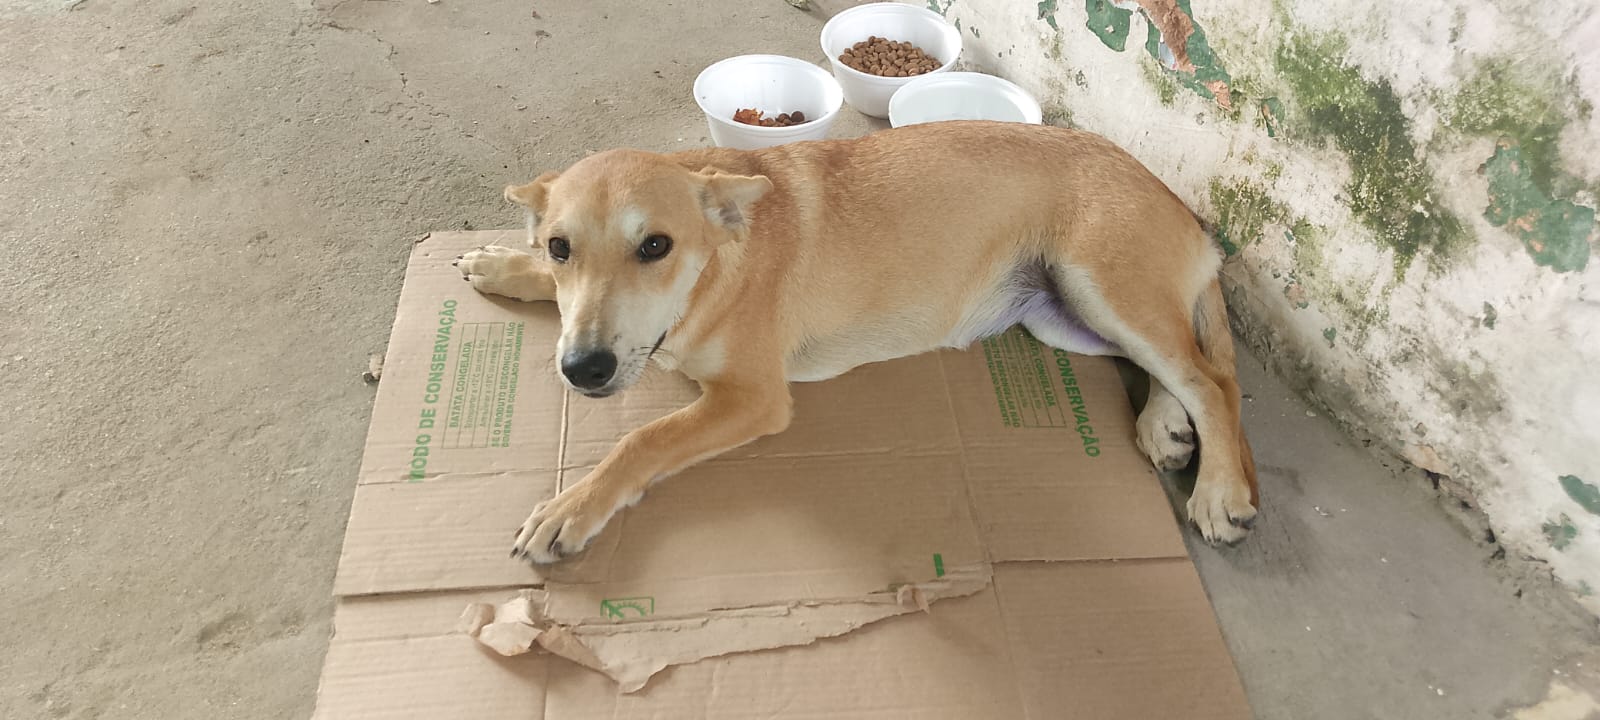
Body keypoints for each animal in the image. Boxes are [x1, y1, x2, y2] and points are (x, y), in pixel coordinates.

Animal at [454, 120, 1259, 565]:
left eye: (655, 245)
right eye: (560, 247)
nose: (583, 369)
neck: (716, 268)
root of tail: (1187, 214)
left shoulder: (753, 399)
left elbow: (640, 440)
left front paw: (570, 508)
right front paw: (502, 264)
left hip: (1101, 282)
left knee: (1213, 380)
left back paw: (1220, 490)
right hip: (1060, 311)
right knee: (1177, 369)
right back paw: (1164, 424)